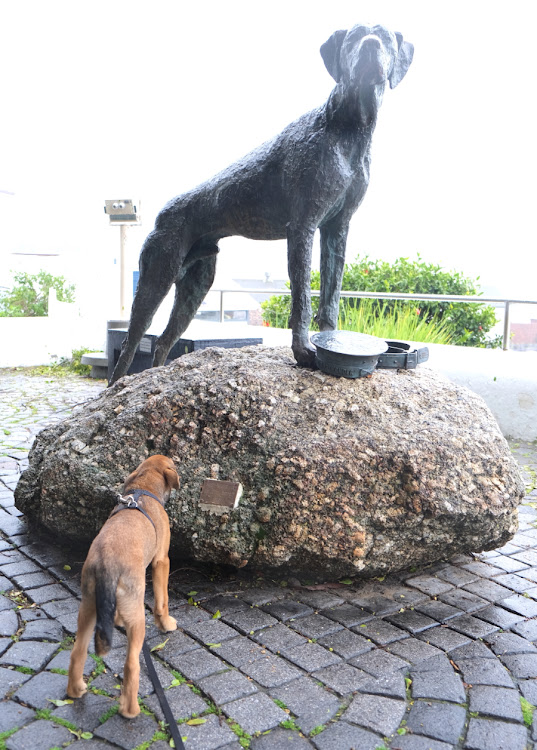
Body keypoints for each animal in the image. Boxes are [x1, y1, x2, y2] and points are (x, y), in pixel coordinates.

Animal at [67, 456, 178, 720]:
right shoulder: (161, 561)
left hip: (88, 609)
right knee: (131, 664)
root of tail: (106, 564)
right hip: (137, 619)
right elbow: (162, 601)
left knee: (78, 651)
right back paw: (130, 710)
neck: (143, 490)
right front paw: (166, 623)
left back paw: (76, 690)